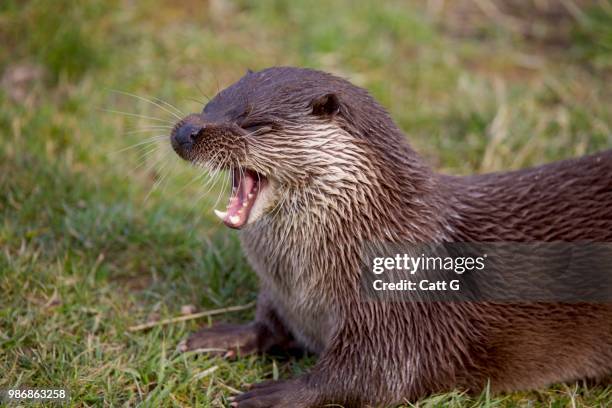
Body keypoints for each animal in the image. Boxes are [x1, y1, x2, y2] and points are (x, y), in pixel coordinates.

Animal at [169, 65, 612, 406]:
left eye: (256, 124)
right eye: (210, 105)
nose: (186, 130)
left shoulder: (394, 311)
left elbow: (367, 380)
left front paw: (273, 394)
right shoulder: (282, 297)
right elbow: (267, 326)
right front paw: (219, 336)